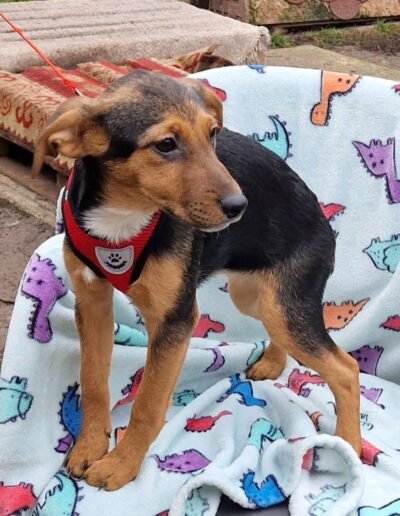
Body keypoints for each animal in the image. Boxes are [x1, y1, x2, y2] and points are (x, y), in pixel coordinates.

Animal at [33, 70, 361, 491]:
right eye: (166, 145)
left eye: (213, 135)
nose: (240, 207)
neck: (124, 218)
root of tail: (321, 215)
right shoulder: (92, 303)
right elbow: (92, 382)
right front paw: (89, 447)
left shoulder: (175, 319)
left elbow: (148, 405)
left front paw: (121, 465)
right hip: (255, 296)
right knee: (281, 332)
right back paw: (272, 364)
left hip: (284, 305)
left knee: (346, 369)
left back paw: (351, 448)